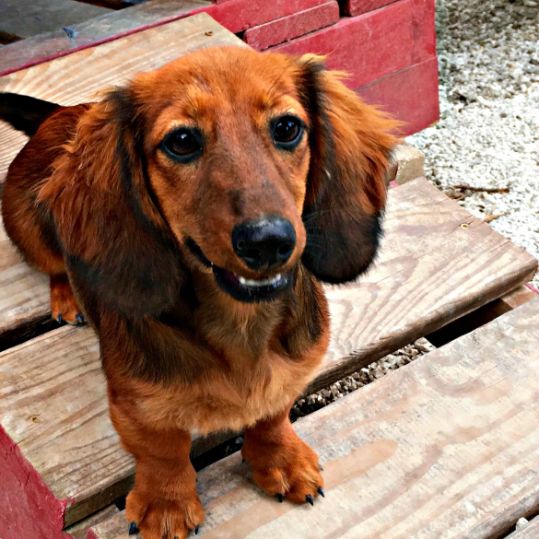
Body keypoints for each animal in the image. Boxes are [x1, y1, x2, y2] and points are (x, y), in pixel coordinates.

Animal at [0, 47, 396, 539]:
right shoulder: (136, 404)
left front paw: (280, 460)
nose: (268, 241)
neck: (240, 327)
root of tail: (60, 115)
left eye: (287, 128)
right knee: (55, 265)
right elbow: (163, 449)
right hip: (28, 226)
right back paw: (68, 298)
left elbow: (272, 416)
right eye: (183, 141)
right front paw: (166, 504)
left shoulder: (291, 375)